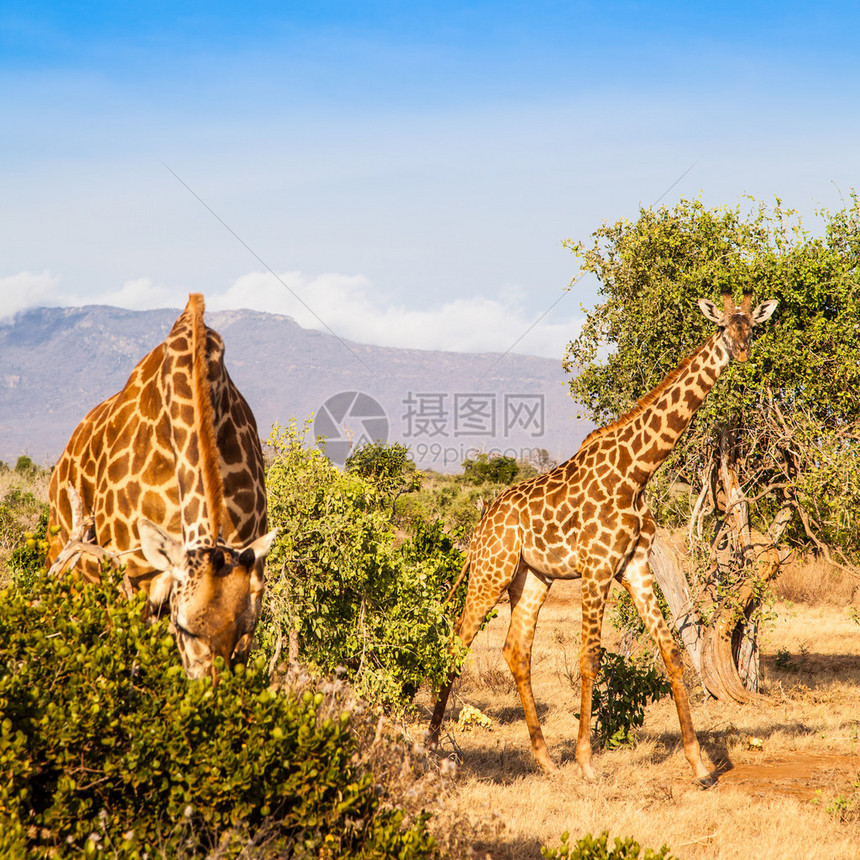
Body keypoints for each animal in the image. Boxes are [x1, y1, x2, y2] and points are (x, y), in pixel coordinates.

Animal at [47, 292, 276, 680]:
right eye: (184, 626)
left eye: (242, 627)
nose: (210, 690)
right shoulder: (135, 581)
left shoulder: (253, 583)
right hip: (66, 565)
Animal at [430, 290, 780, 788]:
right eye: (723, 327)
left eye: (752, 325)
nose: (743, 352)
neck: (636, 471)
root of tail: (482, 522)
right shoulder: (596, 566)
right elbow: (590, 658)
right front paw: (586, 762)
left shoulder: (634, 565)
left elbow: (672, 653)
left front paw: (700, 765)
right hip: (490, 570)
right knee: (456, 642)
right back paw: (430, 745)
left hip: (531, 577)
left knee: (516, 650)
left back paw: (544, 760)